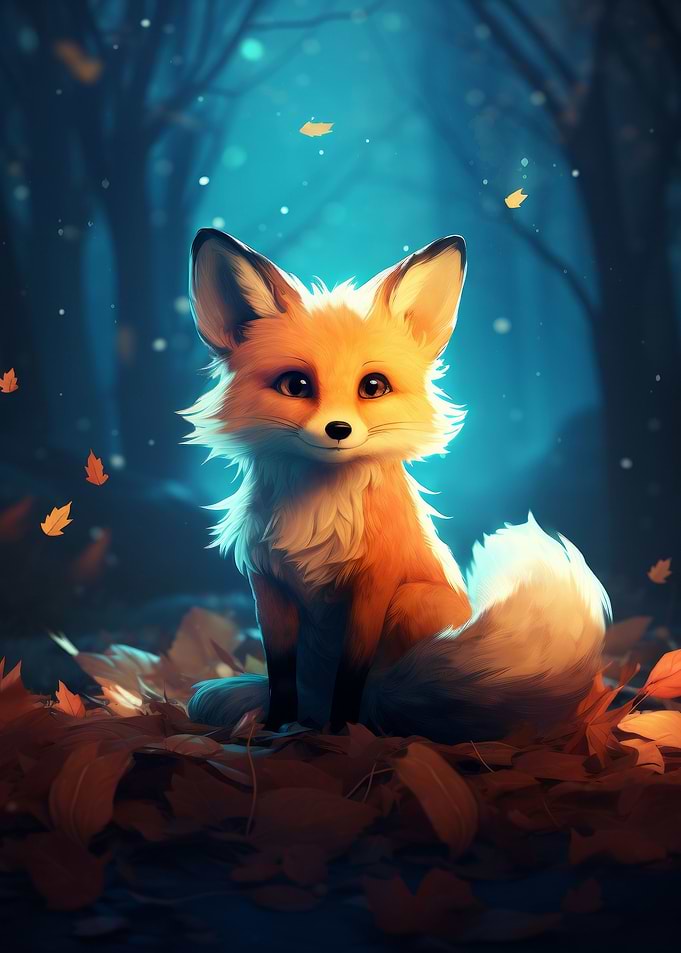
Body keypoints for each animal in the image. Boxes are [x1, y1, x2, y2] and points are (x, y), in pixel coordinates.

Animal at [183, 228, 611, 742]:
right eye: (295, 385)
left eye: (372, 386)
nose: (339, 429)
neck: (318, 516)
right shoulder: (268, 585)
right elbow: (279, 672)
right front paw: (276, 727)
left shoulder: (376, 585)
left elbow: (351, 672)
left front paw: (342, 733)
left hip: (412, 601)